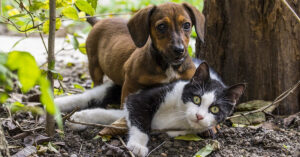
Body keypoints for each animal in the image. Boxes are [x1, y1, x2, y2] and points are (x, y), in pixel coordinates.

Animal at [55, 60, 245, 156]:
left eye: (215, 110)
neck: (180, 114)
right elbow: (139, 118)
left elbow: (114, 115)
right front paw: (137, 145)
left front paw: (80, 118)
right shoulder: (144, 96)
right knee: (91, 95)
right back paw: (56, 104)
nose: (199, 116)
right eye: (196, 99)